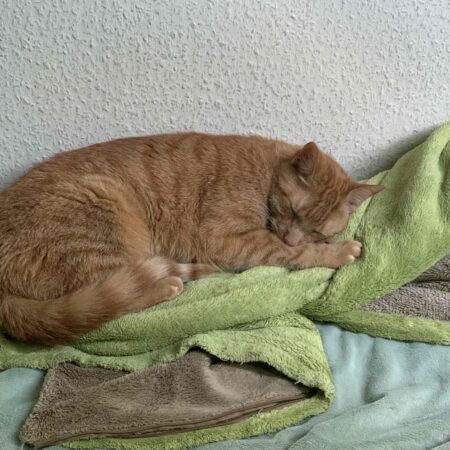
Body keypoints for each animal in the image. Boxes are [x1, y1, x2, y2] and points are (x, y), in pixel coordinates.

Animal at [0, 133, 383, 345]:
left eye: (317, 228)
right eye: (290, 209)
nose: (292, 236)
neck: (265, 172)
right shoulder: (227, 238)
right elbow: (291, 254)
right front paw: (337, 252)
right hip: (102, 216)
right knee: (111, 303)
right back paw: (167, 285)